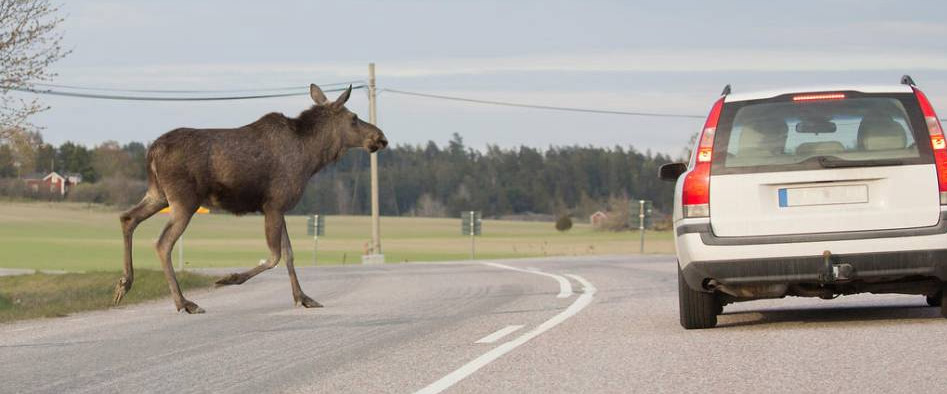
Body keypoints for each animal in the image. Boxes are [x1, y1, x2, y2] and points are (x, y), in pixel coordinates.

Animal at [113, 84, 386, 314]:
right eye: (354, 118)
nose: (381, 138)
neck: (312, 158)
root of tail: (152, 152)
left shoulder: (278, 207)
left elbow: (289, 254)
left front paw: (303, 298)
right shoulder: (274, 204)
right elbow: (275, 256)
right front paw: (228, 279)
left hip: (158, 194)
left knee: (128, 218)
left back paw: (125, 283)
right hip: (184, 200)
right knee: (162, 243)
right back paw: (184, 302)